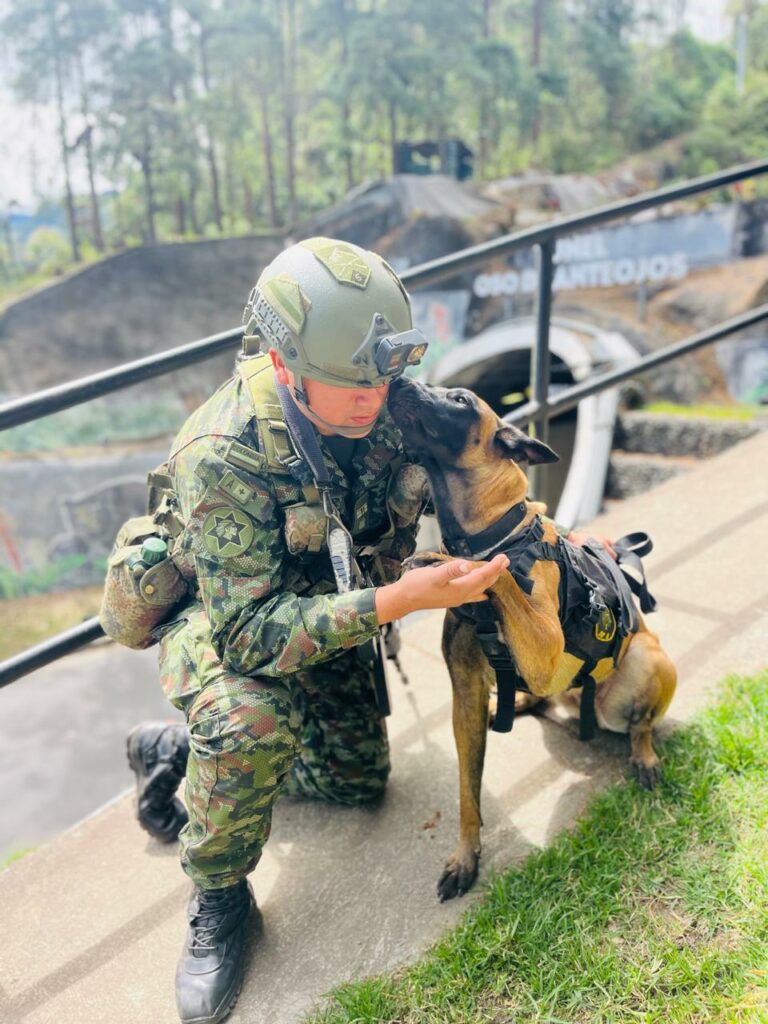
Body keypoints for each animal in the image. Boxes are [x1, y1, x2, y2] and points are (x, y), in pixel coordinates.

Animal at [391, 380, 679, 901]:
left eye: (460, 399)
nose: (399, 381)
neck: (488, 532)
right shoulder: (465, 693)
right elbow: (467, 793)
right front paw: (466, 857)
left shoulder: (543, 648)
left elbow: (499, 572)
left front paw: (447, 563)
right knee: (541, 698)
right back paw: (521, 702)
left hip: (650, 660)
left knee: (640, 725)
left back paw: (644, 756)